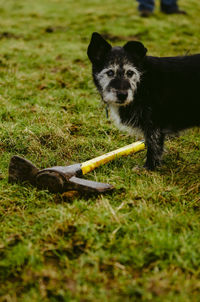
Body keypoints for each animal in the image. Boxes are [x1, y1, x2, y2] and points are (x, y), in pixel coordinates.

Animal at [87, 33, 200, 171]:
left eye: (130, 73)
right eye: (110, 72)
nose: (122, 95)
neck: (142, 83)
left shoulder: (154, 126)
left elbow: (153, 147)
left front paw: (148, 169)